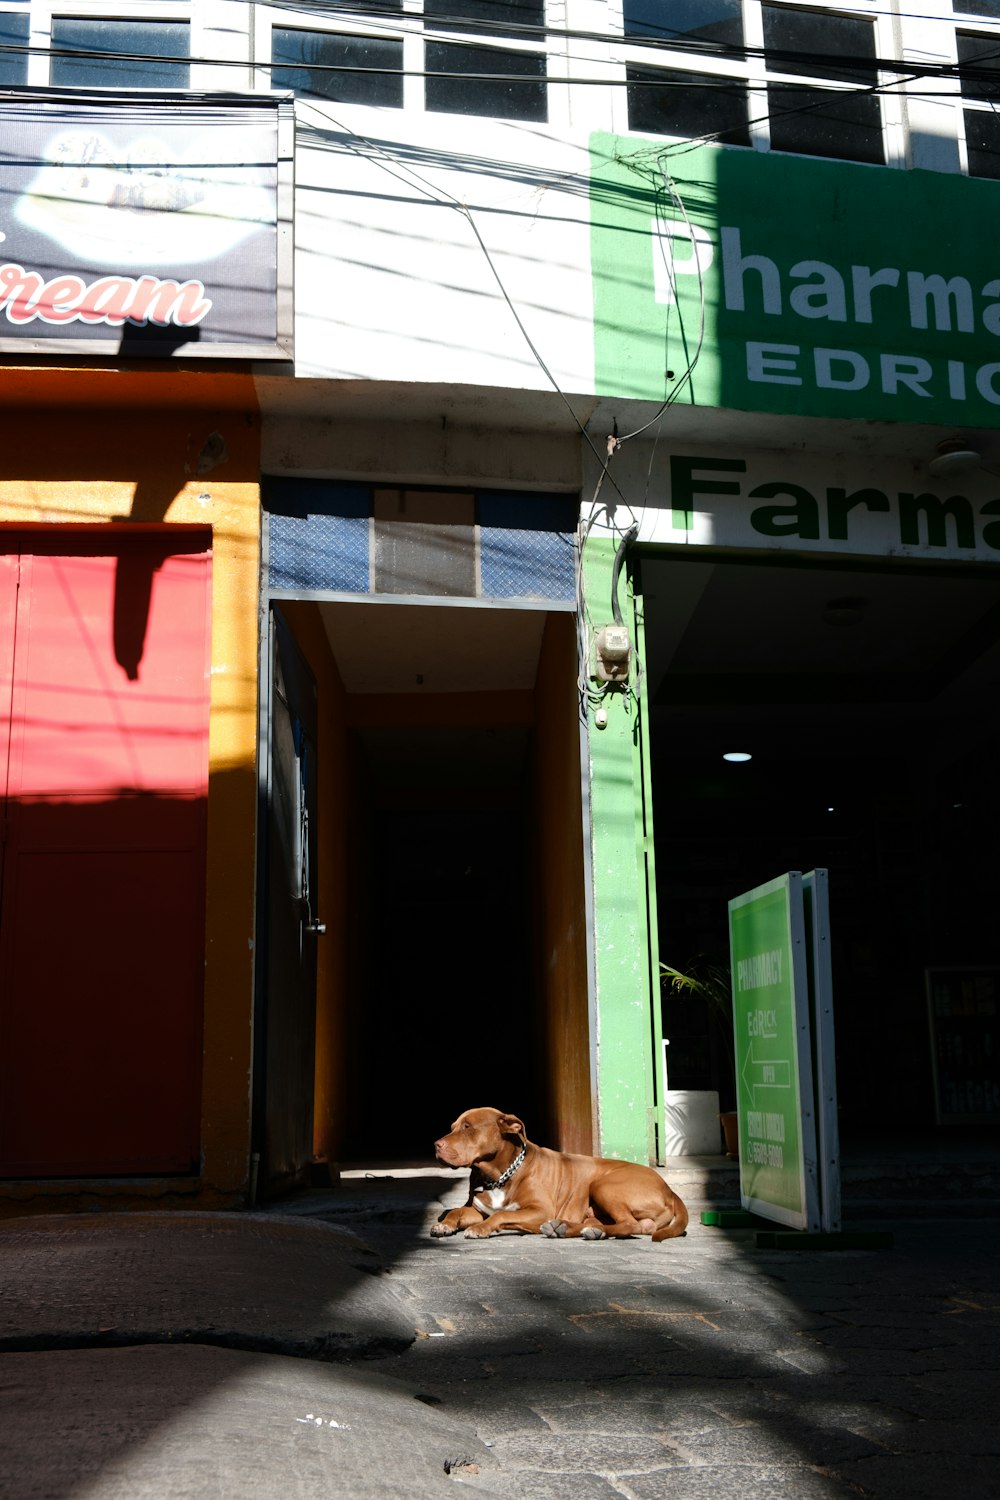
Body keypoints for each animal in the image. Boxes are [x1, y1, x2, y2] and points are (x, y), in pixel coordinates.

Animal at [431, 1104, 689, 1242]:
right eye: (453, 1127)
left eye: (468, 1127)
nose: (436, 1145)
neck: (500, 1175)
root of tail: (669, 1190)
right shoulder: (478, 1208)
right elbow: (456, 1210)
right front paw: (445, 1224)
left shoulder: (540, 1210)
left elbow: (501, 1215)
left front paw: (481, 1229)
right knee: (632, 1225)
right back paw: (570, 1229)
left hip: (604, 1185)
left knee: (630, 1224)